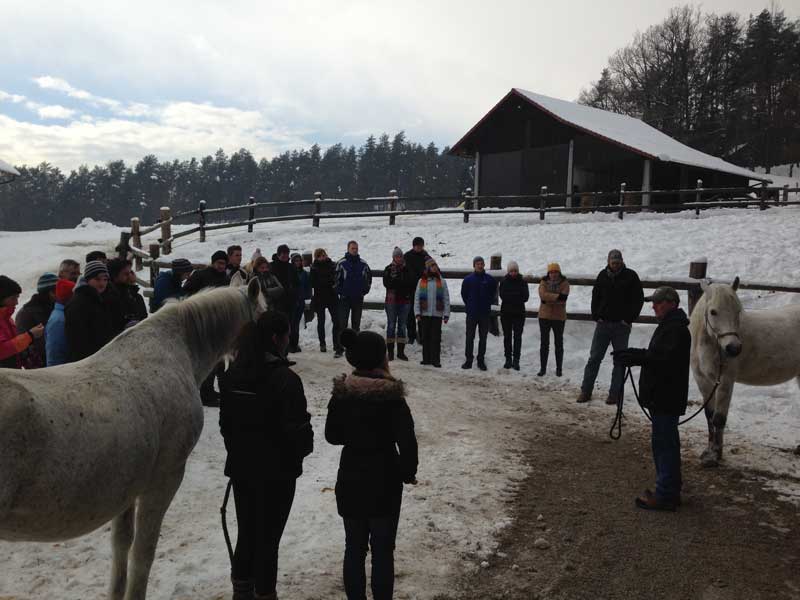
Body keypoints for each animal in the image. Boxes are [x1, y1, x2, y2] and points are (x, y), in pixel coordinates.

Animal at [0, 282, 266, 600]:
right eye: (264, 316)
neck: (177, 348)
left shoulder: (126, 488)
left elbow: (121, 547)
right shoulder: (163, 481)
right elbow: (143, 553)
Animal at [688, 278, 800, 468]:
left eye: (738, 311)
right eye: (713, 312)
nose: (733, 348)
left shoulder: (725, 381)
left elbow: (719, 419)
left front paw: (715, 456)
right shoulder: (703, 380)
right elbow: (709, 416)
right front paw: (710, 452)